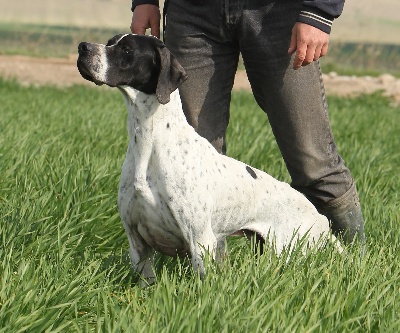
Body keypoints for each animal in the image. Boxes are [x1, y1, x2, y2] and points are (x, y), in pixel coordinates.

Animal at [76, 34, 340, 286]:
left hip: (287, 251)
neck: (148, 144)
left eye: (127, 50)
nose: (83, 47)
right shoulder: (137, 243)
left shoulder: (200, 240)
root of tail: (320, 217)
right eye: (110, 42)